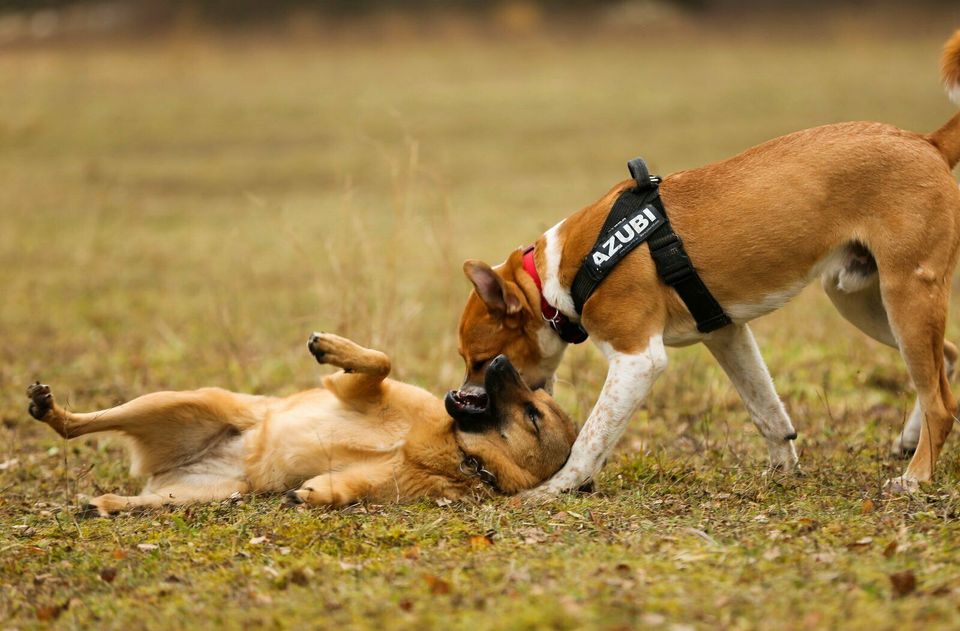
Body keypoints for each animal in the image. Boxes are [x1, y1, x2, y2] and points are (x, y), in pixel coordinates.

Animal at [26, 334, 572, 516]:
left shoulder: (369, 483)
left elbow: (342, 490)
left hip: (200, 494)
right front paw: (333, 347)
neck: (451, 449)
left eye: (533, 414)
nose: (501, 359)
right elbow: (380, 361)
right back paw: (50, 409)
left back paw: (105, 504)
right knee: (76, 426)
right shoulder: (358, 391)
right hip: (181, 400)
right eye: (538, 400)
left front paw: (312, 495)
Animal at [448, 29, 960, 496]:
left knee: (940, 402)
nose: (463, 398)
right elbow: (767, 411)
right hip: (861, 301)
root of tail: (925, 141)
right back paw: (910, 439)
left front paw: (555, 488)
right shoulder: (727, 334)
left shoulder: (637, 360)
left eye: (479, 359)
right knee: (947, 362)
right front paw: (782, 469)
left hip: (905, 293)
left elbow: (590, 439)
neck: (560, 273)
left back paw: (915, 477)